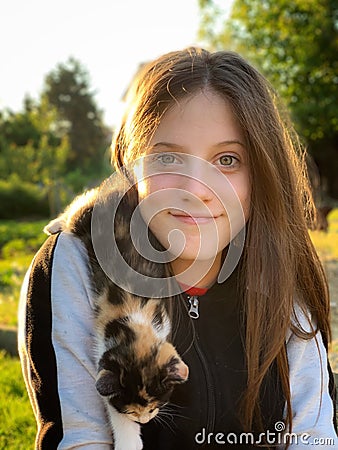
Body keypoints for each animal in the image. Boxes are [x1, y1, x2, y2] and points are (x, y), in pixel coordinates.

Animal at [43, 177, 189, 450]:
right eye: (131, 411)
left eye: (154, 405)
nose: (144, 420)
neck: (136, 323)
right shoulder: (104, 348)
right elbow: (112, 407)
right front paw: (129, 440)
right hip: (85, 218)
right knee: (77, 208)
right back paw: (54, 225)